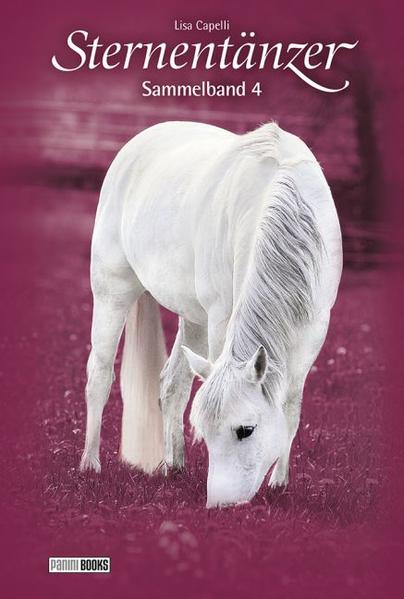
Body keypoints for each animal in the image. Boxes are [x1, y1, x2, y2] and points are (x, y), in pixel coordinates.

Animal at [80, 119, 342, 508]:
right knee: (99, 375)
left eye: (245, 430)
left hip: (194, 319)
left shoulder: (312, 331)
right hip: (112, 290)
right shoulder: (222, 319)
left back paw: (173, 466)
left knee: (172, 384)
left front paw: (279, 483)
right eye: (205, 430)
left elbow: (291, 409)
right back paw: (90, 463)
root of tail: (139, 141)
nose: (220, 505)